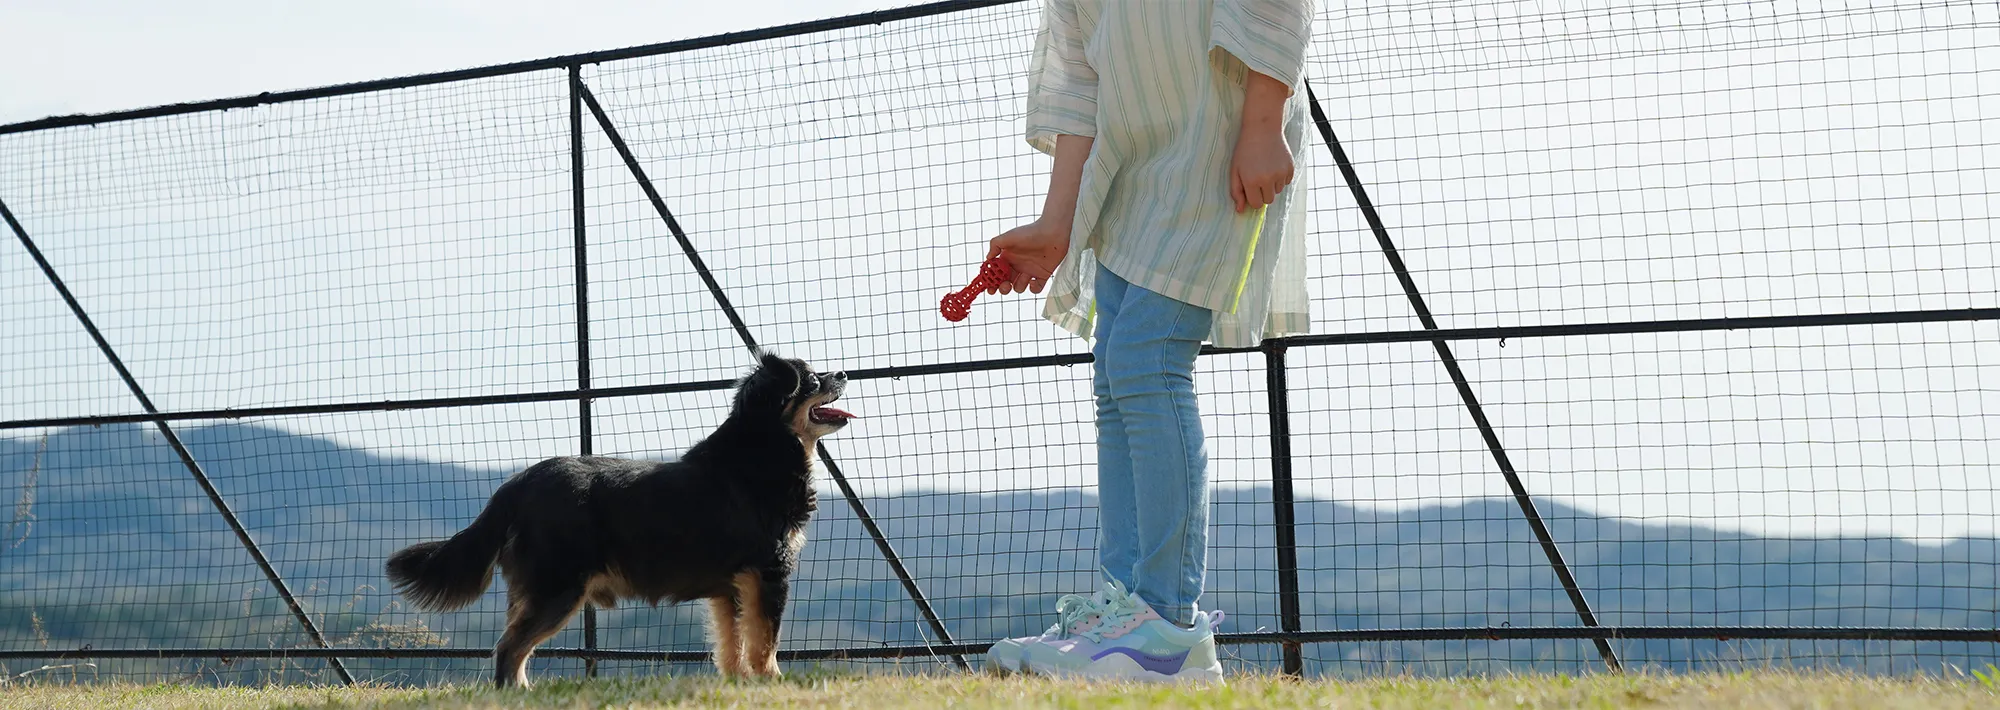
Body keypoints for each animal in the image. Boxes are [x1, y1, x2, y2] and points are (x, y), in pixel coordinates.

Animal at [384, 354, 852, 688]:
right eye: (813, 380)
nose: (844, 372)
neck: (762, 451)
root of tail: (518, 483)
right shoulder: (768, 572)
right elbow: (766, 639)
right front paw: (773, 681)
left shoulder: (731, 586)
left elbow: (732, 642)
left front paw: (739, 683)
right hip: (557, 588)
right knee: (509, 649)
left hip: (537, 589)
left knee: (512, 645)